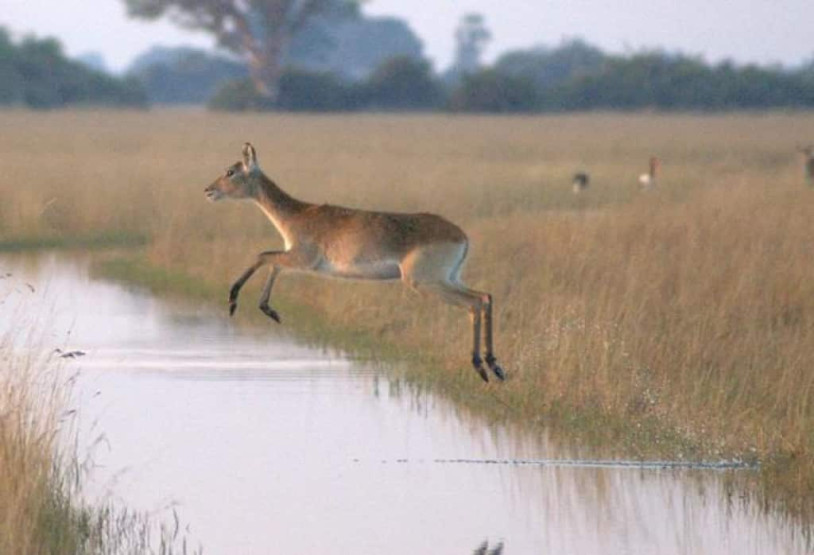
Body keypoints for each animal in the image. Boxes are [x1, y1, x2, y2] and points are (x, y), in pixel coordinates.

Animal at [204, 143, 506, 382]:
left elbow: (263, 256)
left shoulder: (303, 259)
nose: (208, 190)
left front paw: (234, 300)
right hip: (450, 278)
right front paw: (268, 309)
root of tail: (462, 235)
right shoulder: (295, 258)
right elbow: (272, 262)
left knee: (475, 303)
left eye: (231, 171)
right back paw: (495, 366)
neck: (298, 214)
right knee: (485, 297)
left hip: (424, 281)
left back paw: (480, 366)